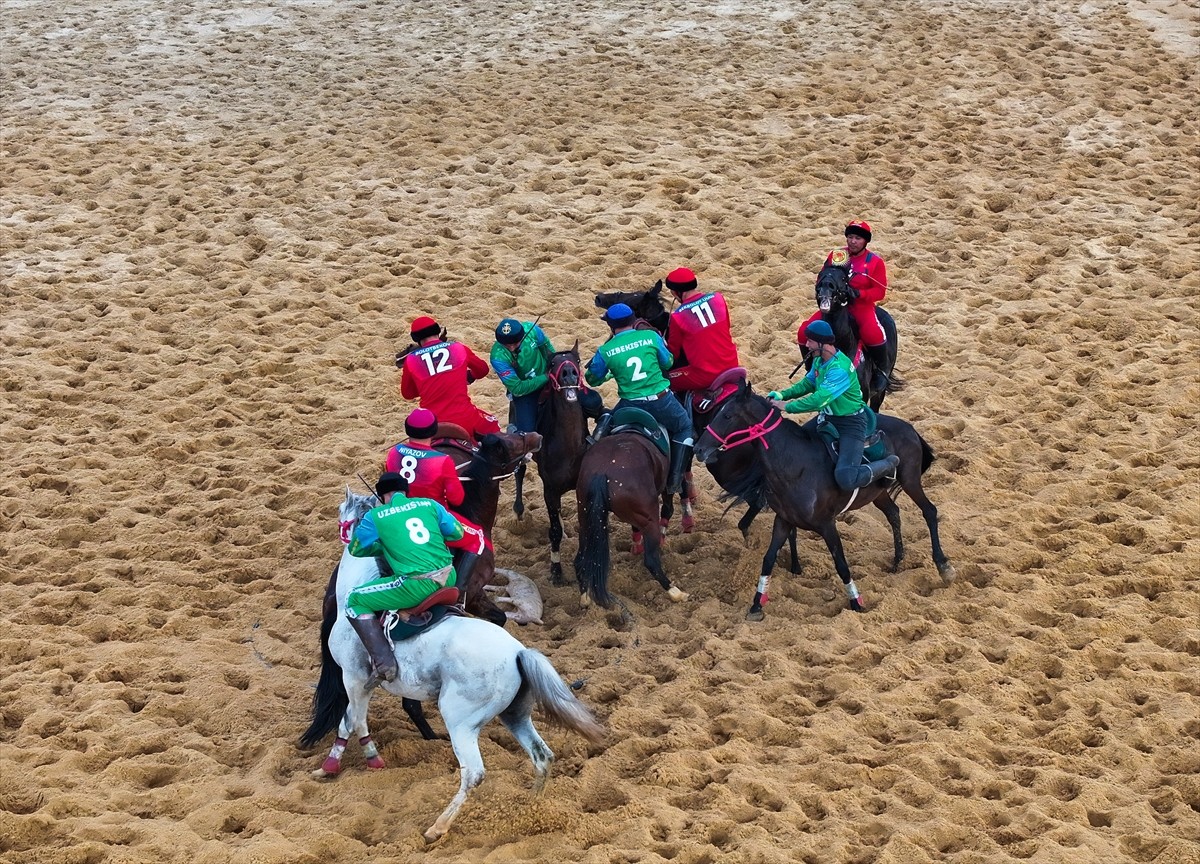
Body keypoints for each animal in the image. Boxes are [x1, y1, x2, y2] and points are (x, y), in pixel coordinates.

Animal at [296, 492, 604, 844]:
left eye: (341, 511)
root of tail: (517, 652)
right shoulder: (363, 683)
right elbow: (350, 720)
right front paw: (337, 764)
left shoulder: (355, 678)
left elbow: (353, 720)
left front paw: (358, 761)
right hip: (515, 715)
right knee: (542, 756)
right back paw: (531, 808)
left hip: (460, 722)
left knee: (474, 773)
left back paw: (438, 826)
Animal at [532, 348, 592, 583]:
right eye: (551, 363)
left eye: (578, 360)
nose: (568, 373)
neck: (569, 447)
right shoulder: (550, 489)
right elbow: (554, 530)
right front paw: (556, 570)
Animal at [571, 422, 686, 612]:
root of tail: (602, 471)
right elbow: (668, 509)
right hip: (649, 520)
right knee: (651, 561)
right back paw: (675, 591)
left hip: (585, 519)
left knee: (580, 560)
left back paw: (585, 597)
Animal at [696, 381, 955, 619]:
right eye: (717, 412)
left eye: (727, 415)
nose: (699, 449)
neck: (796, 466)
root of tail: (909, 428)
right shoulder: (783, 521)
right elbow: (768, 559)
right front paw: (757, 604)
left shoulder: (827, 524)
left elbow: (841, 564)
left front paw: (857, 603)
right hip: (879, 494)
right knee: (894, 513)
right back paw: (898, 560)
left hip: (910, 480)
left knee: (929, 511)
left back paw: (943, 566)